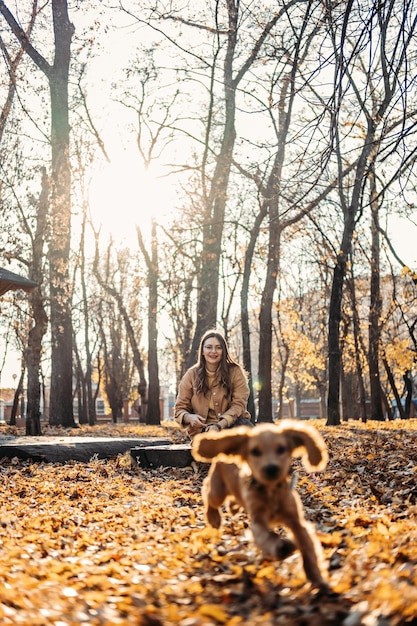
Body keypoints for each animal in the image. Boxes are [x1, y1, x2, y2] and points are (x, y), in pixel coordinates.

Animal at [191, 420, 328, 588]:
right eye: (255, 451)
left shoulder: (296, 521)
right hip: (218, 491)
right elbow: (268, 537)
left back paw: (233, 508)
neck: (270, 492)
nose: (271, 468)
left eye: (281, 448)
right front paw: (282, 547)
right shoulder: (258, 522)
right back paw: (214, 518)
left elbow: (308, 549)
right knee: (208, 492)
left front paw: (317, 579)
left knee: (233, 498)